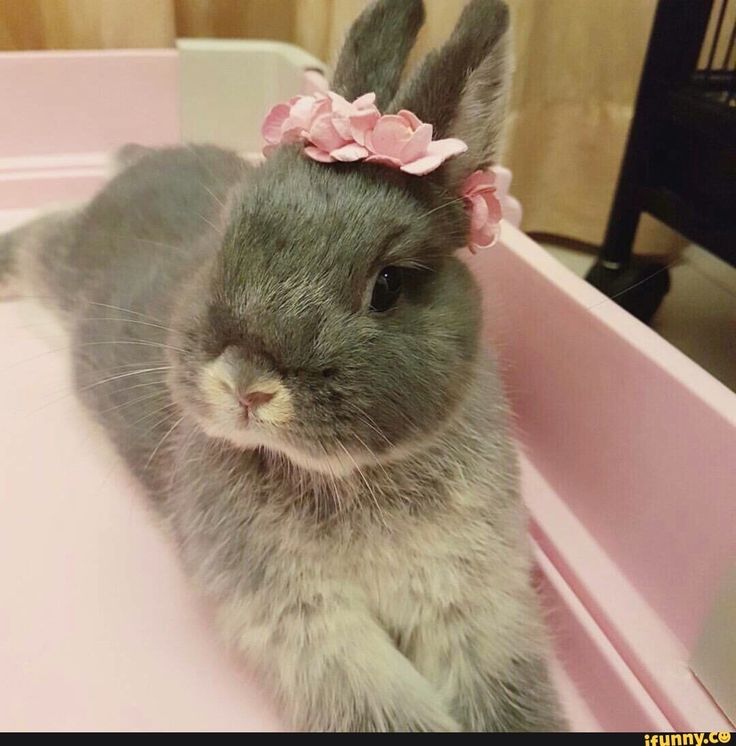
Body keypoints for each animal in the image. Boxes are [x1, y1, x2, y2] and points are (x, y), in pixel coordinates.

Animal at [1, 0, 564, 732]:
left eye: (388, 286)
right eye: (226, 238)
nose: (246, 385)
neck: (352, 476)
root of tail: (134, 168)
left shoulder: (475, 598)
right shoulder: (306, 620)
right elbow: (384, 702)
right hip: (59, 265)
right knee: (34, 239)